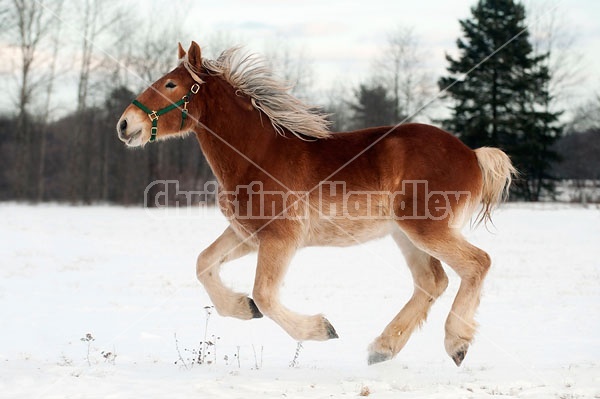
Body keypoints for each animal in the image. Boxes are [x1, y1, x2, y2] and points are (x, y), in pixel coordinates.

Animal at [117, 42, 516, 368]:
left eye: (171, 85)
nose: (124, 124)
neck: (257, 155)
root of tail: (472, 155)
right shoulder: (247, 235)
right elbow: (204, 265)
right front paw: (242, 308)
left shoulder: (280, 239)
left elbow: (265, 295)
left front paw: (321, 329)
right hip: (405, 235)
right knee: (432, 281)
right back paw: (382, 349)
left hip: (425, 228)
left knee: (477, 263)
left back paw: (456, 342)